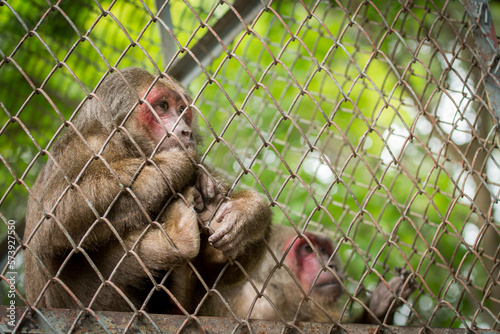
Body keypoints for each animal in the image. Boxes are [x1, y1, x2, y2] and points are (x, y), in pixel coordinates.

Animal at [23, 67, 272, 314]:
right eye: (162, 105)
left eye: (181, 110)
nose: (185, 131)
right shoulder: (89, 146)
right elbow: (55, 218)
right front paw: (174, 164)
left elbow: (224, 272)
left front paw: (247, 213)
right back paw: (179, 234)